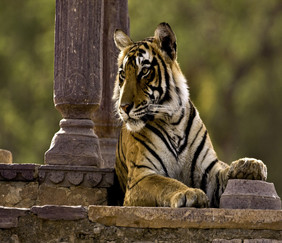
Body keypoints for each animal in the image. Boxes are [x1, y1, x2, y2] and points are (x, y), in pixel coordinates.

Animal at [112, 22, 266, 208]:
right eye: (122, 74)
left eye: (144, 71)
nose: (123, 107)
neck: (172, 121)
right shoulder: (140, 176)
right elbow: (166, 183)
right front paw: (189, 193)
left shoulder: (208, 172)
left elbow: (222, 173)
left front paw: (250, 166)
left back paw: (246, 165)